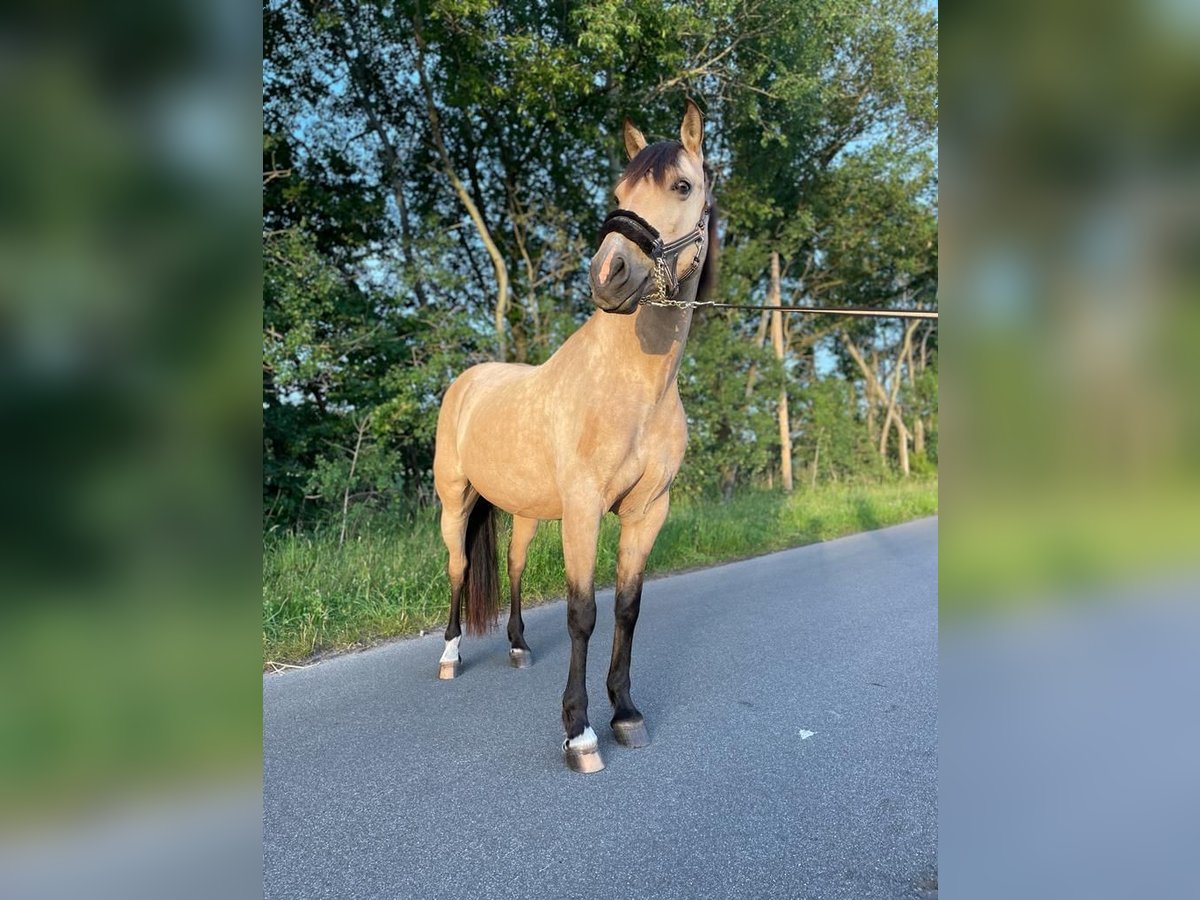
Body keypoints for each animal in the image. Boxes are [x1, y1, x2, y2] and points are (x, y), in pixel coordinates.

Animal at [432, 100, 710, 777]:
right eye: (618, 191)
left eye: (681, 186)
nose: (609, 274)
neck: (635, 390)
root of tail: (468, 382)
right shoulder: (584, 509)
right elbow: (582, 612)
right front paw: (580, 733)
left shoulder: (647, 512)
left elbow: (627, 608)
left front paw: (626, 713)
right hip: (455, 501)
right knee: (456, 568)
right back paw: (450, 656)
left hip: (527, 512)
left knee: (511, 565)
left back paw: (516, 647)